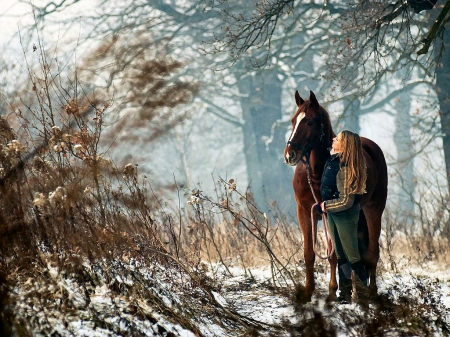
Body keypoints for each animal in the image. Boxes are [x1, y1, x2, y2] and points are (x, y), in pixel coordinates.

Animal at [284, 90, 386, 302]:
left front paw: (332, 292)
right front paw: (308, 292)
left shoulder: (329, 213)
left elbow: (333, 256)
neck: (317, 173)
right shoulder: (305, 213)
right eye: (293, 121)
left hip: (373, 210)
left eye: (310, 122)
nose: (290, 155)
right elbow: (309, 253)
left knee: (372, 252)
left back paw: (371, 294)